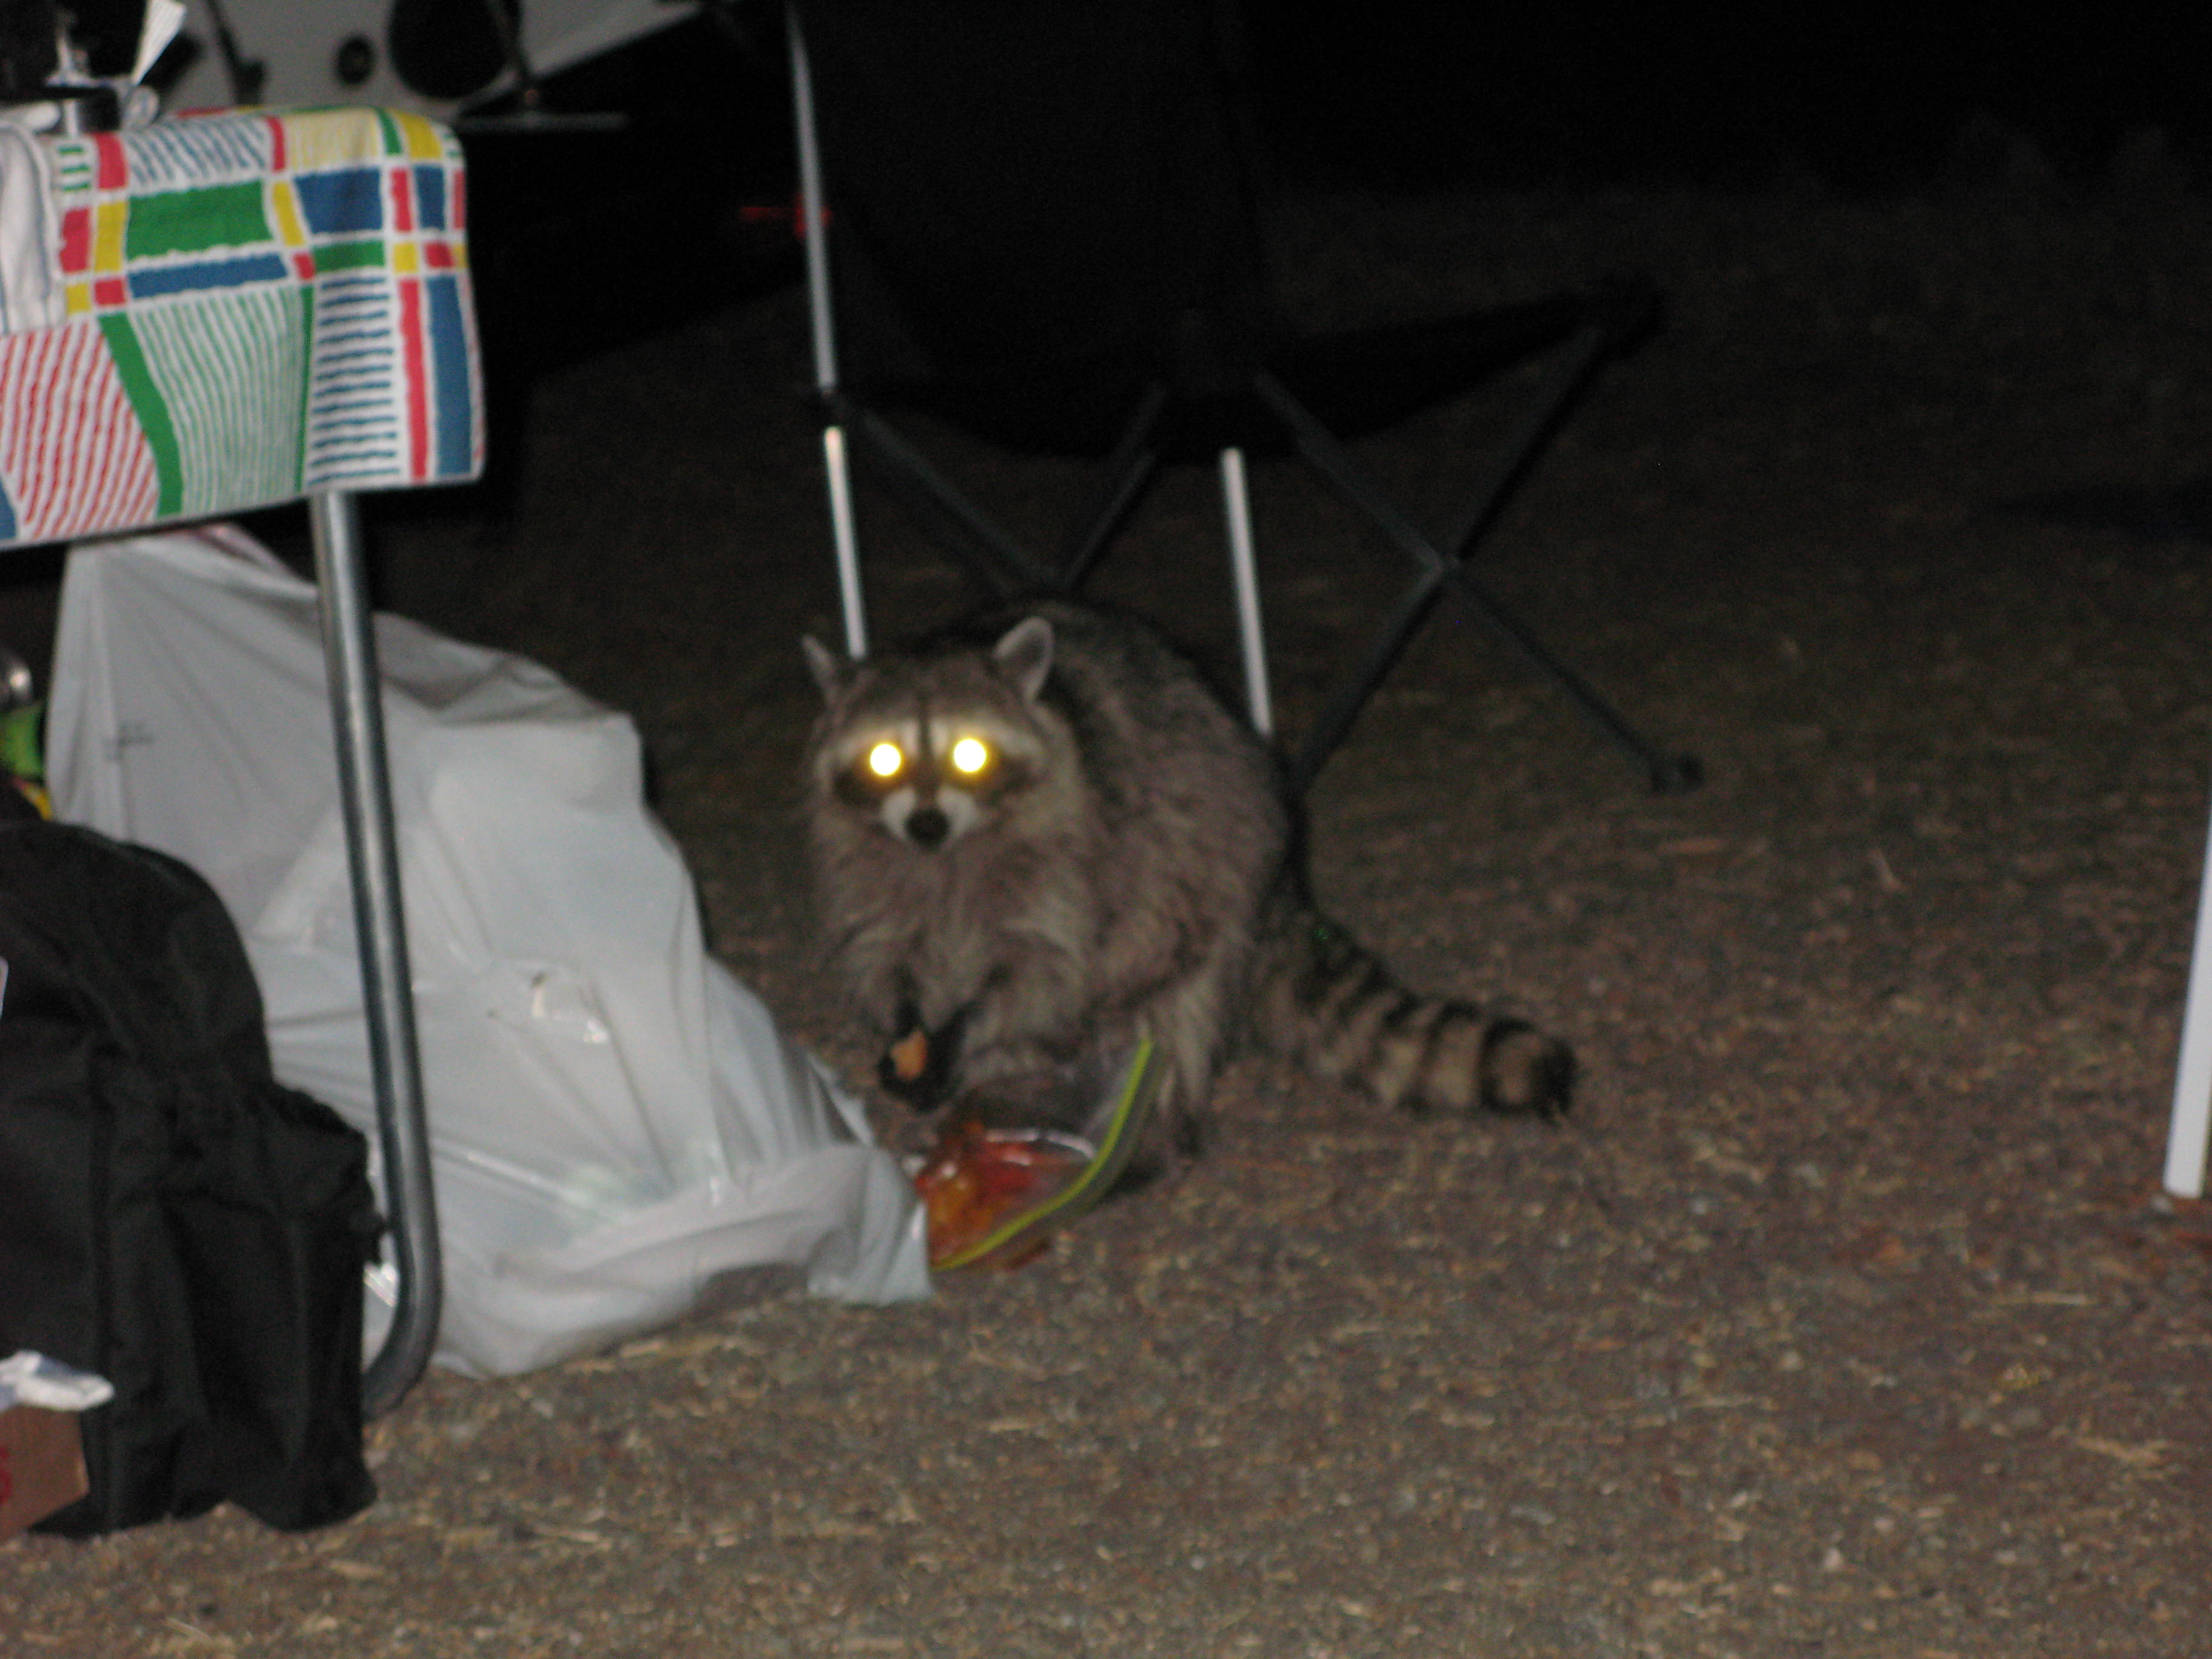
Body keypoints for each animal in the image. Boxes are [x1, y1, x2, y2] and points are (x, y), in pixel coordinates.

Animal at [800, 598, 1572, 1166]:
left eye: (969, 754)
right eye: (885, 759)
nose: (927, 823)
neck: (948, 855)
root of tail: (1285, 872)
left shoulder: (1073, 852)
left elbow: (1041, 967)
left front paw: (969, 1026)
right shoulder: (866, 864)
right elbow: (886, 951)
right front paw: (909, 1024)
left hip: (1207, 866)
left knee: (1171, 1001)